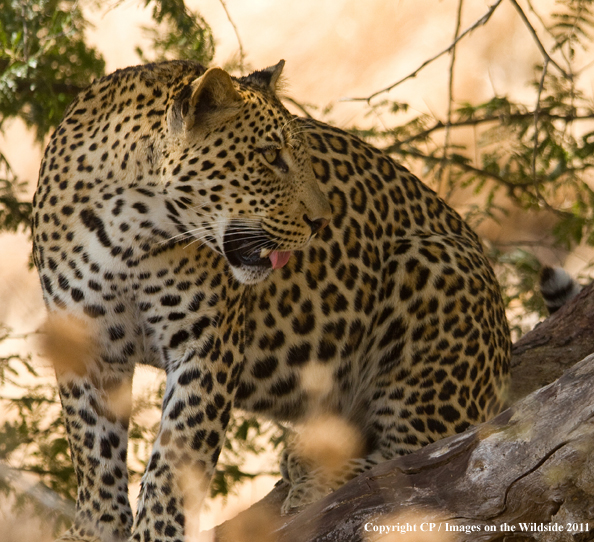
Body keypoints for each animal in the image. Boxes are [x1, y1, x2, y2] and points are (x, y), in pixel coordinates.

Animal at [31, 60, 508, 542]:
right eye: (270, 156)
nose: (321, 222)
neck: (128, 231)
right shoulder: (84, 342)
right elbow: (94, 449)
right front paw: (96, 528)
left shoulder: (207, 345)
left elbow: (175, 456)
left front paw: (155, 532)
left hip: (432, 268)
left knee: (422, 457)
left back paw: (315, 479)